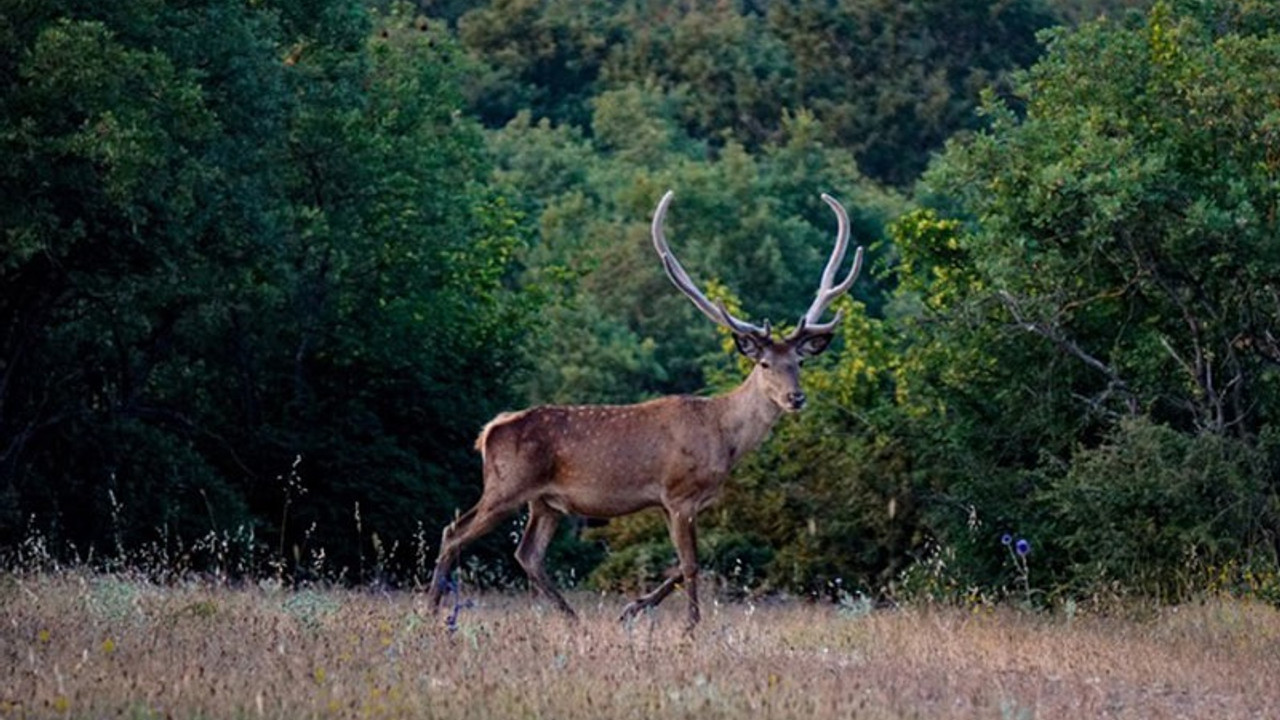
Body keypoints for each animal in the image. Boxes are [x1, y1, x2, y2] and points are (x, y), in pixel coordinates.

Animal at [424, 190, 865, 627]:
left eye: (800, 362)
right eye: (765, 364)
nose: (796, 398)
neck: (723, 438)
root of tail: (489, 431)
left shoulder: (681, 503)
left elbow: (679, 566)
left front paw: (632, 608)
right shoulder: (678, 493)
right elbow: (691, 565)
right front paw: (689, 625)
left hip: (545, 501)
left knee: (527, 553)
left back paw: (572, 618)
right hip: (506, 485)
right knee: (454, 532)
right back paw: (431, 610)